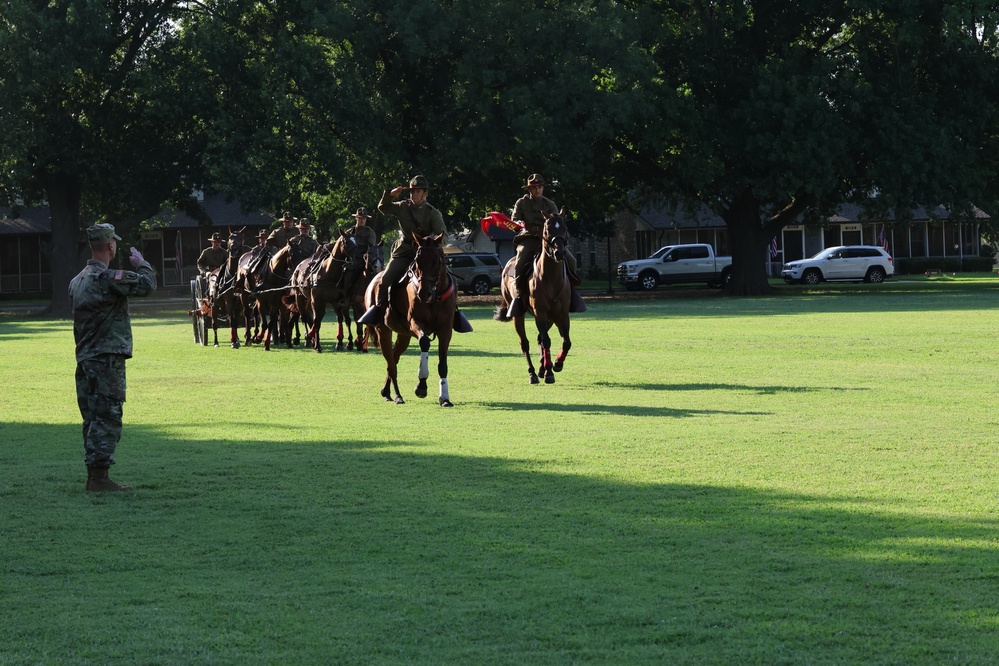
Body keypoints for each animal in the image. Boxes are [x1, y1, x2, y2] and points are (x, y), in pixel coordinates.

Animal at [366, 231, 458, 408]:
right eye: (417, 261)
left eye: (436, 261)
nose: (423, 293)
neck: (434, 297)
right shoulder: (415, 323)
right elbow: (424, 343)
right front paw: (421, 385)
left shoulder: (445, 330)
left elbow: (443, 364)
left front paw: (445, 397)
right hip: (383, 331)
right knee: (391, 364)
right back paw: (397, 395)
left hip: (403, 335)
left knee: (394, 359)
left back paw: (386, 392)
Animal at [496, 210, 576, 382]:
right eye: (547, 230)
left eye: (564, 228)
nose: (559, 252)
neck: (550, 278)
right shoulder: (540, 313)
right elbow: (546, 341)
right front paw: (549, 372)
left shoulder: (561, 315)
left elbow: (566, 342)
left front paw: (557, 364)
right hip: (518, 315)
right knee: (525, 343)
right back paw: (533, 373)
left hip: (550, 318)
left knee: (539, 339)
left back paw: (542, 368)